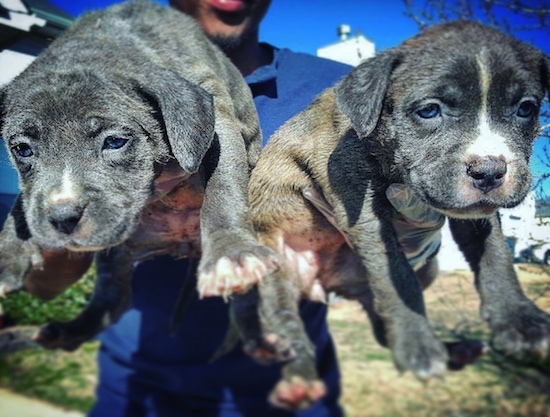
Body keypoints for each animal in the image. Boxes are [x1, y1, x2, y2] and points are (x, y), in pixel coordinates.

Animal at [0, 1, 278, 350]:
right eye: (22, 149)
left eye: (115, 142)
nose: (63, 218)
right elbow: (21, 205)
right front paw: (8, 254)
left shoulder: (221, 123)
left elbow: (223, 188)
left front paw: (231, 255)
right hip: (115, 258)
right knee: (115, 299)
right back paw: (67, 332)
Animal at [238, 21, 550, 408]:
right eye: (429, 111)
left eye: (525, 109)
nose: (490, 171)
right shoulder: (362, 207)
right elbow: (397, 276)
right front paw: (418, 345)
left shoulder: (476, 215)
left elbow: (495, 256)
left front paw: (519, 319)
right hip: (274, 268)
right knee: (285, 321)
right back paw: (299, 378)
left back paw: (454, 350)